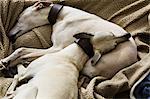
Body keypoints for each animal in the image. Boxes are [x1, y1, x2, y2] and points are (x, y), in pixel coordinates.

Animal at [0, 1, 137, 77]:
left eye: (18, 18)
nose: (9, 35)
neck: (62, 15)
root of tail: (135, 58)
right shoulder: (54, 47)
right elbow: (21, 50)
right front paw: (6, 60)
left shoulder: (56, 48)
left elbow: (23, 52)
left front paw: (8, 62)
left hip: (90, 64)